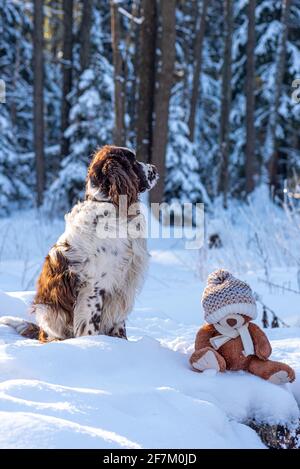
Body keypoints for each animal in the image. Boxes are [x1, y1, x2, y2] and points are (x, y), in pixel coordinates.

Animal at [0, 145, 158, 340]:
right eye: (133, 160)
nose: (155, 169)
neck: (110, 204)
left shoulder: (123, 285)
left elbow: (119, 325)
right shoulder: (94, 288)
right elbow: (90, 326)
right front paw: (92, 343)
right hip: (48, 311)